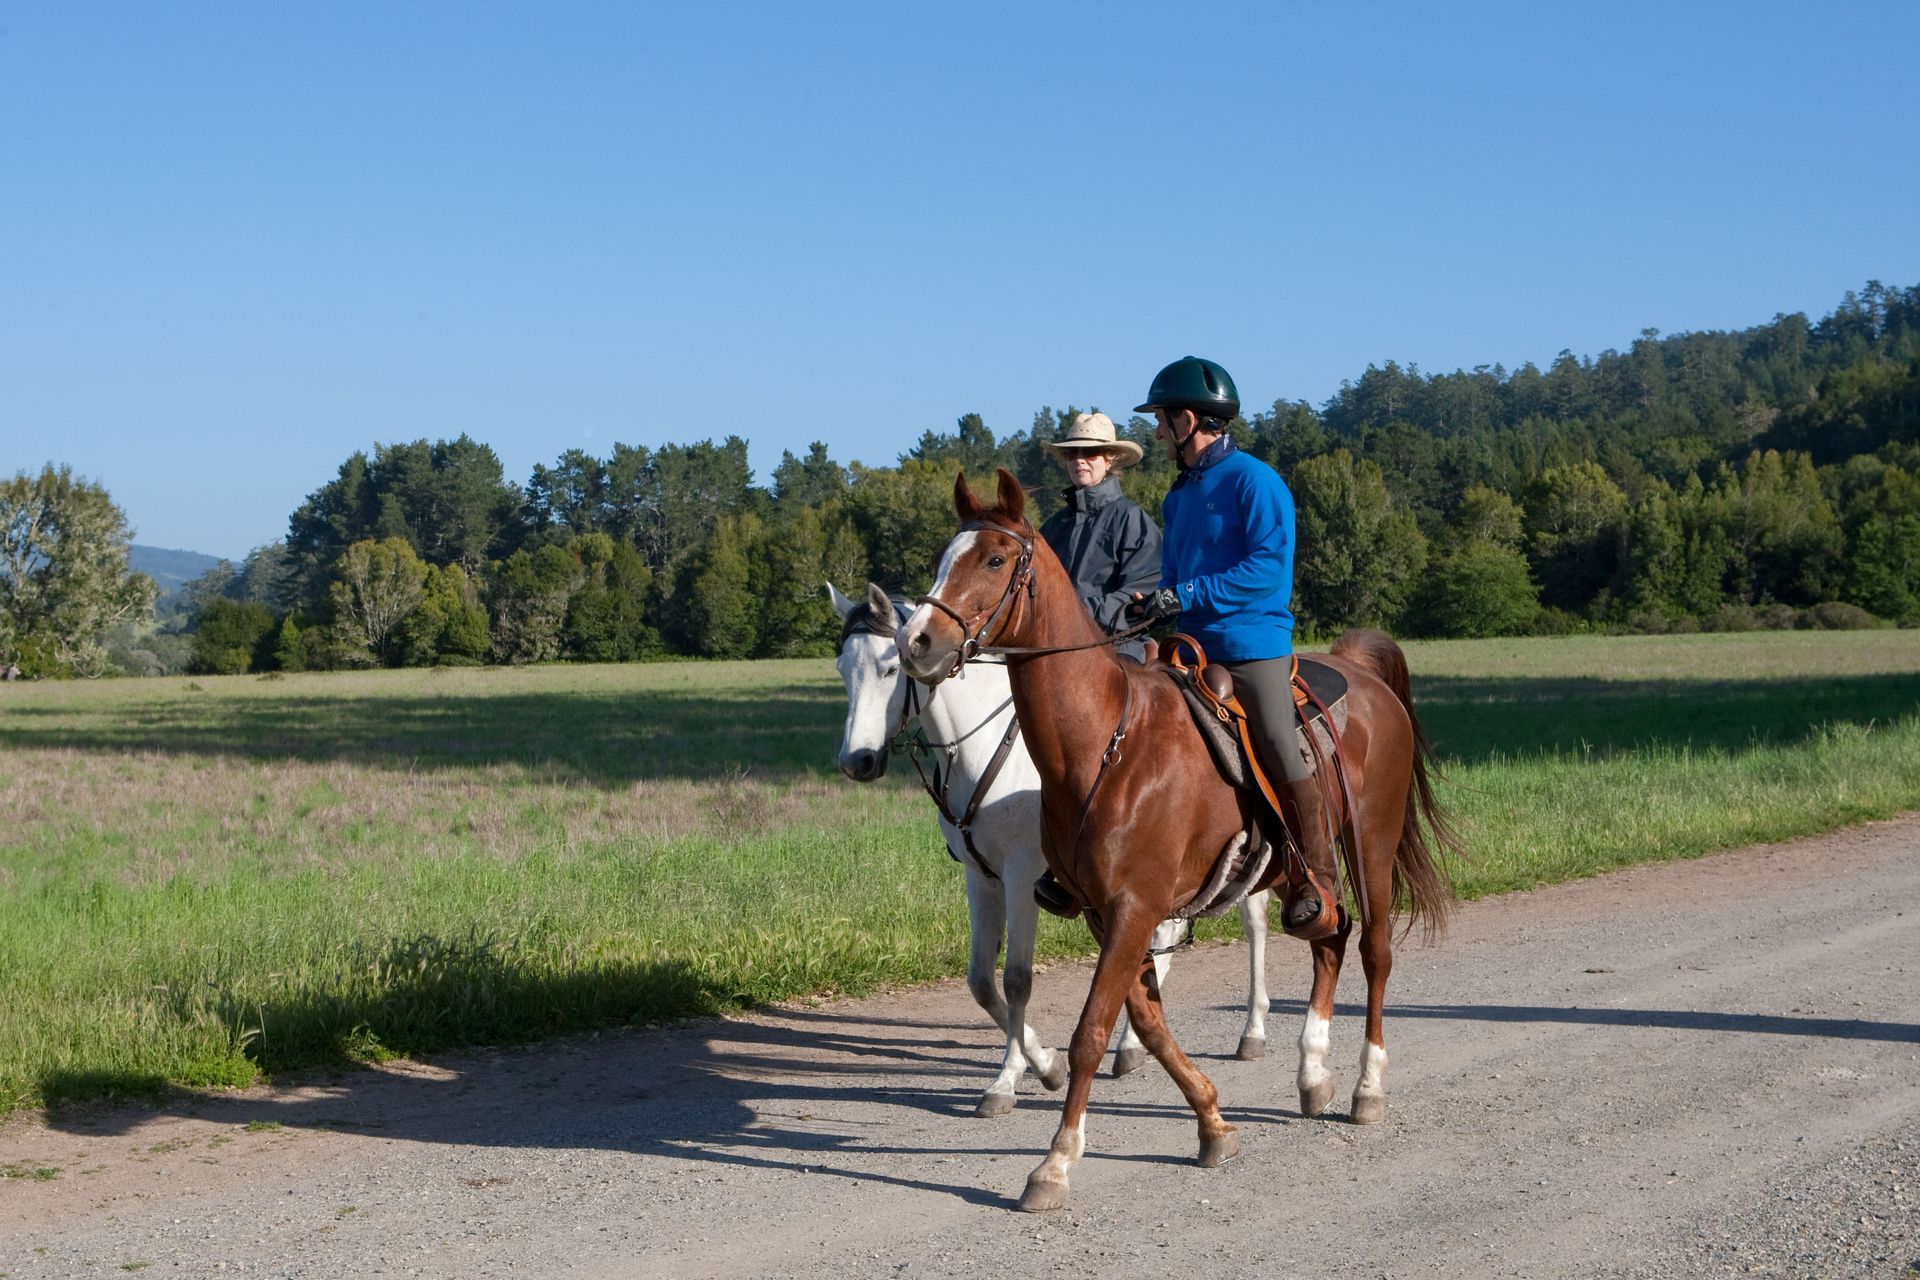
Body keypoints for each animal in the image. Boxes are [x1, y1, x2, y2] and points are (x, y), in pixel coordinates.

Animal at [825, 587, 1274, 1113]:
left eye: (891, 668)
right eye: (842, 667)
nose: (857, 762)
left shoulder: (1022, 876)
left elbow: (1017, 978)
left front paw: (1010, 1079)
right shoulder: (981, 877)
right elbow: (981, 981)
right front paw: (1044, 1062)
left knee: (1253, 924)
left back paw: (1252, 1032)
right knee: (1164, 934)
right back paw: (1132, 1045)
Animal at [898, 470, 1451, 1212]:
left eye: (992, 559)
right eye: (943, 556)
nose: (918, 642)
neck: (1106, 741)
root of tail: (1357, 670)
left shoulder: (1135, 909)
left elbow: (1091, 1031)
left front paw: (1055, 1163)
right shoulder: (1105, 913)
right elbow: (1149, 1023)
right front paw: (1213, 1122)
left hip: (1373, 850)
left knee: (1375, 952)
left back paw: (1367, 1086)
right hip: (1304, 873)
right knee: (1329, 938)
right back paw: (1312, 1074)